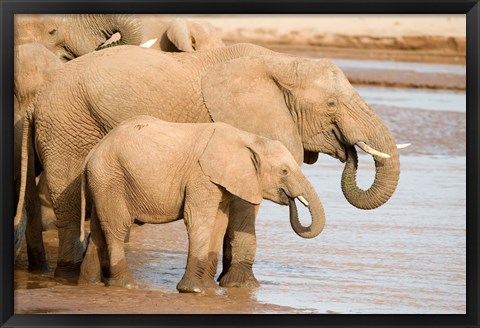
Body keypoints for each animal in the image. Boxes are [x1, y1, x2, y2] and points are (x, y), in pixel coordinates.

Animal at [79, 115, 326, 292]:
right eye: (284, 171)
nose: (291, 199)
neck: (247, 138)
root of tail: (93, 152)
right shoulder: (201, 176)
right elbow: (199, 221)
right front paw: (193, 290)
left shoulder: (221, 183)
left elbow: (218, 223)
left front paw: (207, 288)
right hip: (111, 176)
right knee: (117, 227)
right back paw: (127, 285)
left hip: (103, 181)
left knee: (100, 228)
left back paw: (89, 282)